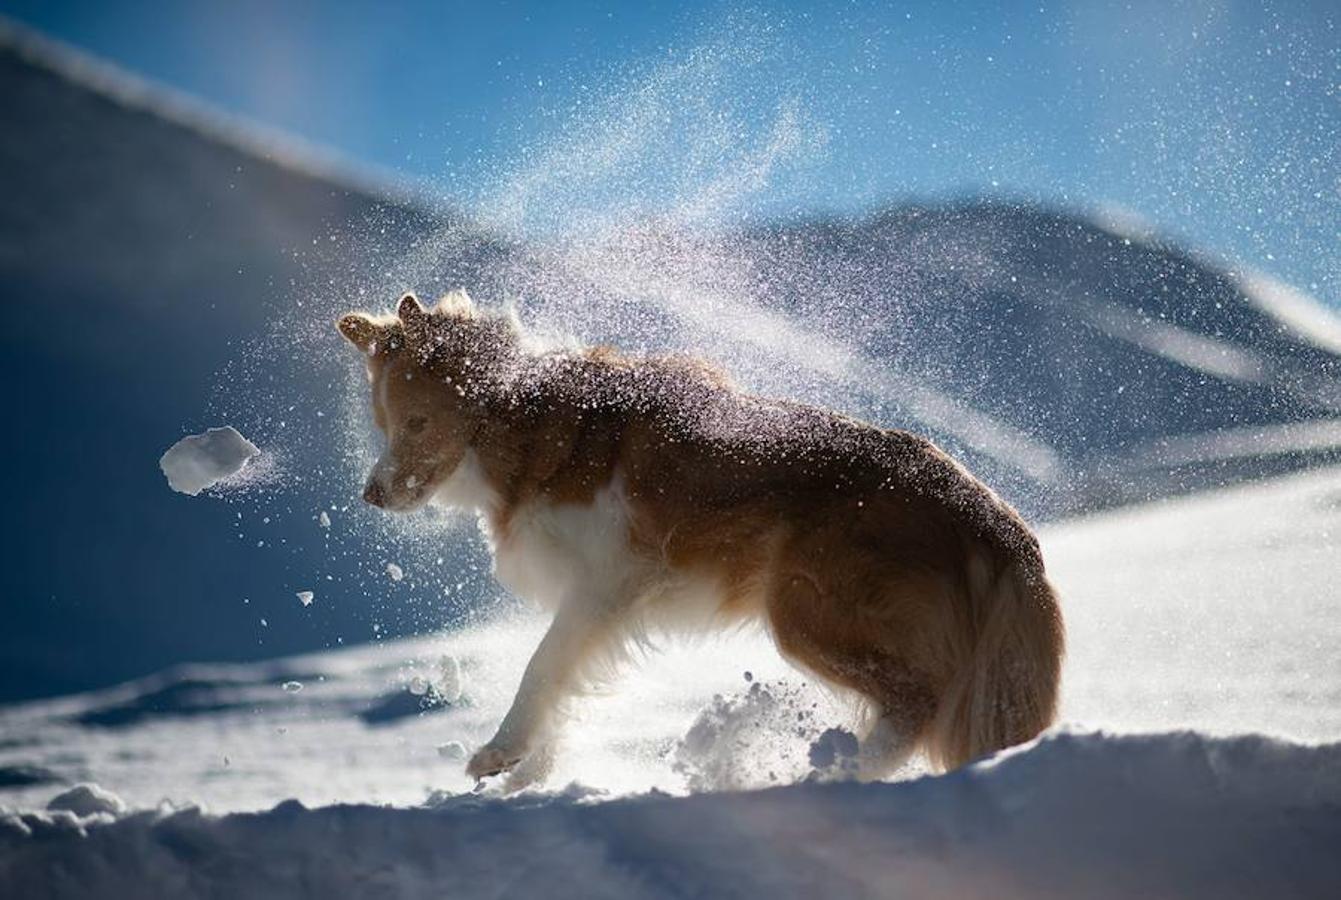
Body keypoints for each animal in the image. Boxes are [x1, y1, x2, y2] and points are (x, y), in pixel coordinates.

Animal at [340, 293, 1062, 783]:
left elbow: (541, 665)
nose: (370, 495)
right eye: (381, 424)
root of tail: (991, 513)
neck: (520, 418)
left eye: (415, 422)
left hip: (805, 610)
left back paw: (833, 775)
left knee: (917, 700)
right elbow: (563, 681)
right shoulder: (599, 602)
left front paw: (504, 752)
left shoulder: (606, 583)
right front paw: (534, 772)